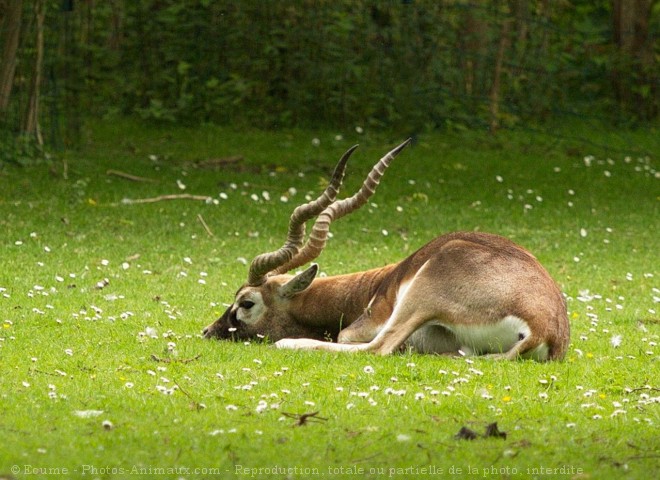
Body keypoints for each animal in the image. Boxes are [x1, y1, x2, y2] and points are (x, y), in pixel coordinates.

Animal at [204, 139, 568, 360]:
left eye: (246, 302)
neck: (370, 289)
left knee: (377, 348)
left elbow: (350, 339)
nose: (208, 331)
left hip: (420, 296)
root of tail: (546, 328)